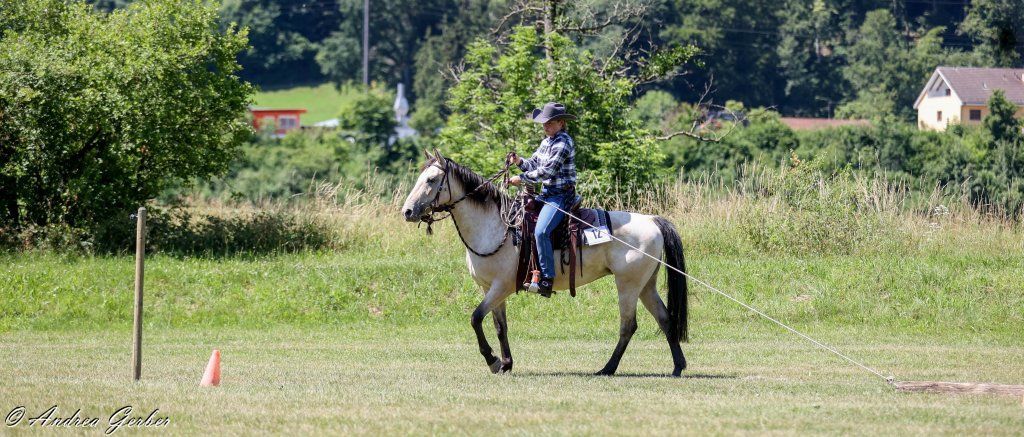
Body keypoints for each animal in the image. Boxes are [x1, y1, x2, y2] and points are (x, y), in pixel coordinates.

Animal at [401, 150, 690, 376]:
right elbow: (499, 326)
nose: (407, 211)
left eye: (431, 180)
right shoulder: (489, 288)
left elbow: (475, 318)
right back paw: (677, 366)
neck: (497, 226)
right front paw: (506, 363)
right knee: (665, 319)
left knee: (628, 326)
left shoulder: (501, 286)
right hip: (646, 285)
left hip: (628, 285)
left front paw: (493, 361)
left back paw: (607, 368)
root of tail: (652, 220)